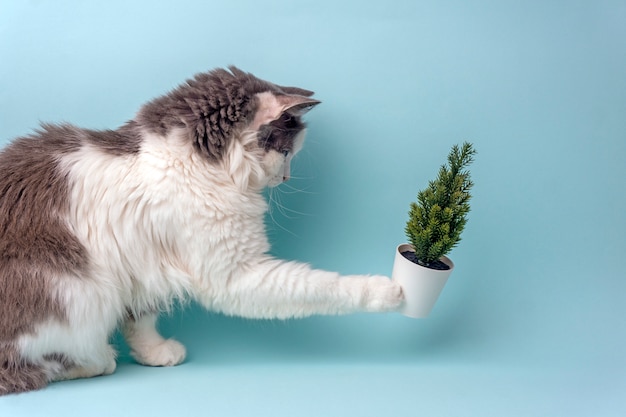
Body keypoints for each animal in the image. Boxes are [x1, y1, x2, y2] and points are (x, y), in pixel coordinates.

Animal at [0, 66, 402, 394]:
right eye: (287, 154)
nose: (286, 177)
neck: (193, 160)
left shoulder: (142, 262)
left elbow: (142, 318)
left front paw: (154, 352)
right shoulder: (233, 274)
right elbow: (321, 287)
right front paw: (386, 291)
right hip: (77, 290)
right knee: (37, 363)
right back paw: (96, 360)